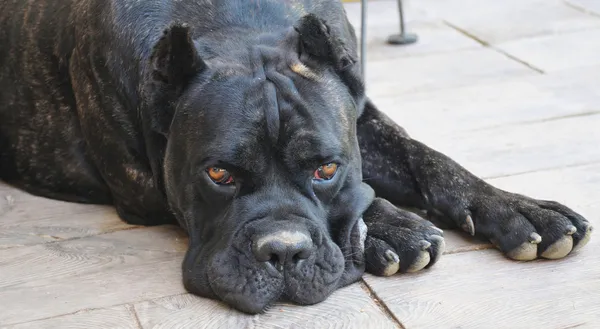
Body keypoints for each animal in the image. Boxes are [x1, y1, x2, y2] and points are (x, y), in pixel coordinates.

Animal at [0, 0, 592, 312]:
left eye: (326, 169)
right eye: (218, 174)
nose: (282, 252)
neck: (232, 28)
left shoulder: (363, 117)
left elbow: (425, 156)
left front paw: (518, 209)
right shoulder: (142, 185)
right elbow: (373, 196)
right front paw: (394, 229)